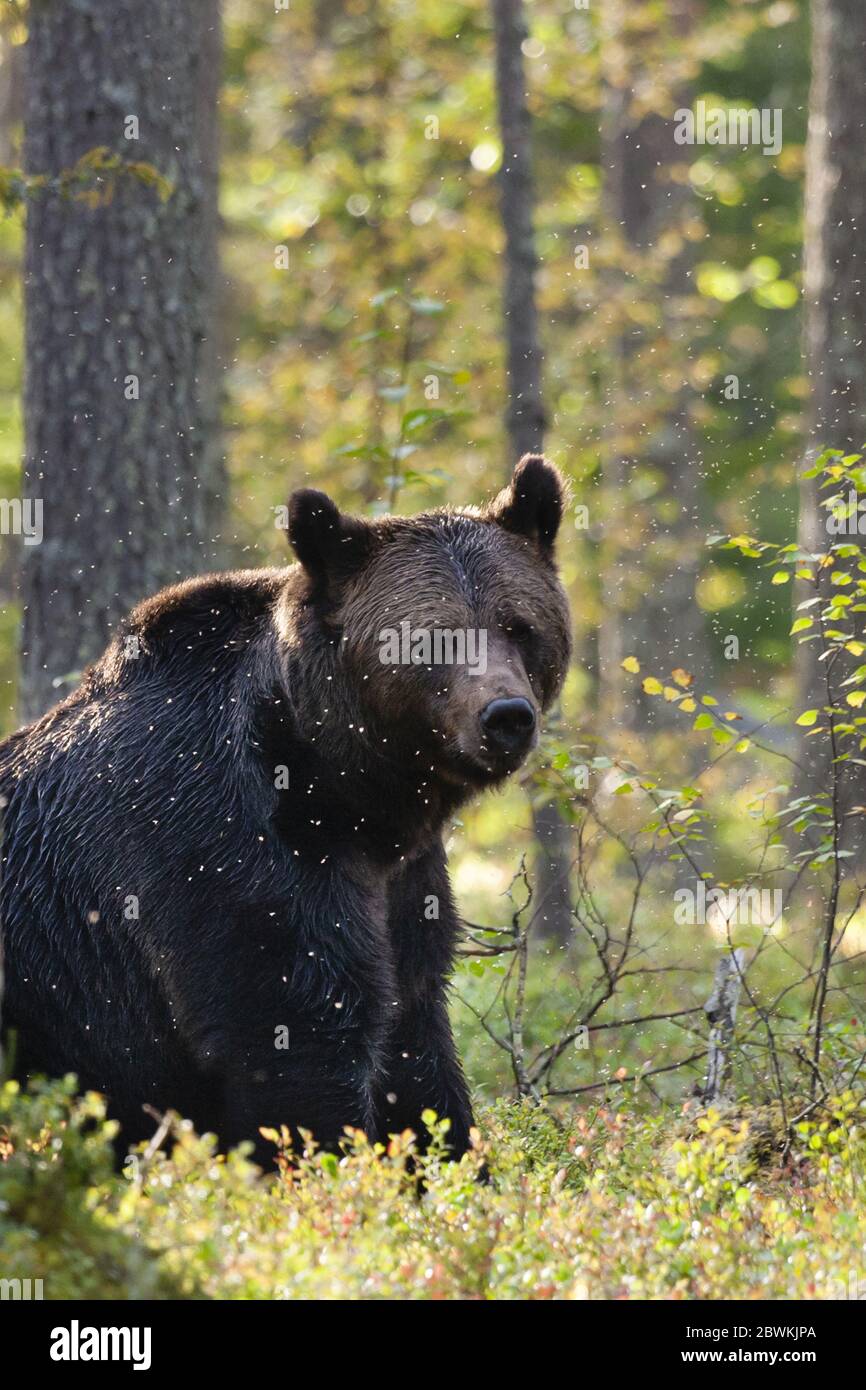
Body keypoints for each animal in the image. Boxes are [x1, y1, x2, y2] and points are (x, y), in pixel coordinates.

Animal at [1, 453, 575, 1162]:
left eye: (519, 626)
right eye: (431, 640)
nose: (506, 717)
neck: (347, 794)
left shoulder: (405, 889)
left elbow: (416, 1051)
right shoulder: (221, 856)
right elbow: (293, 1043)